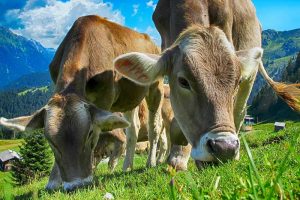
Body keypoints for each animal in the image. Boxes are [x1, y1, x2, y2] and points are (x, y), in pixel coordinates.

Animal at [0, 15, 164, 191]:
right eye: (50, 141)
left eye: (90, 133)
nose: (76, 185)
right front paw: (53, 181)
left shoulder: (104, 99)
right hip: (129, 97)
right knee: (133, 128)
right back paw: (127, 166)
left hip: (156, 87)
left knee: (155, 126)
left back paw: (151, 162)